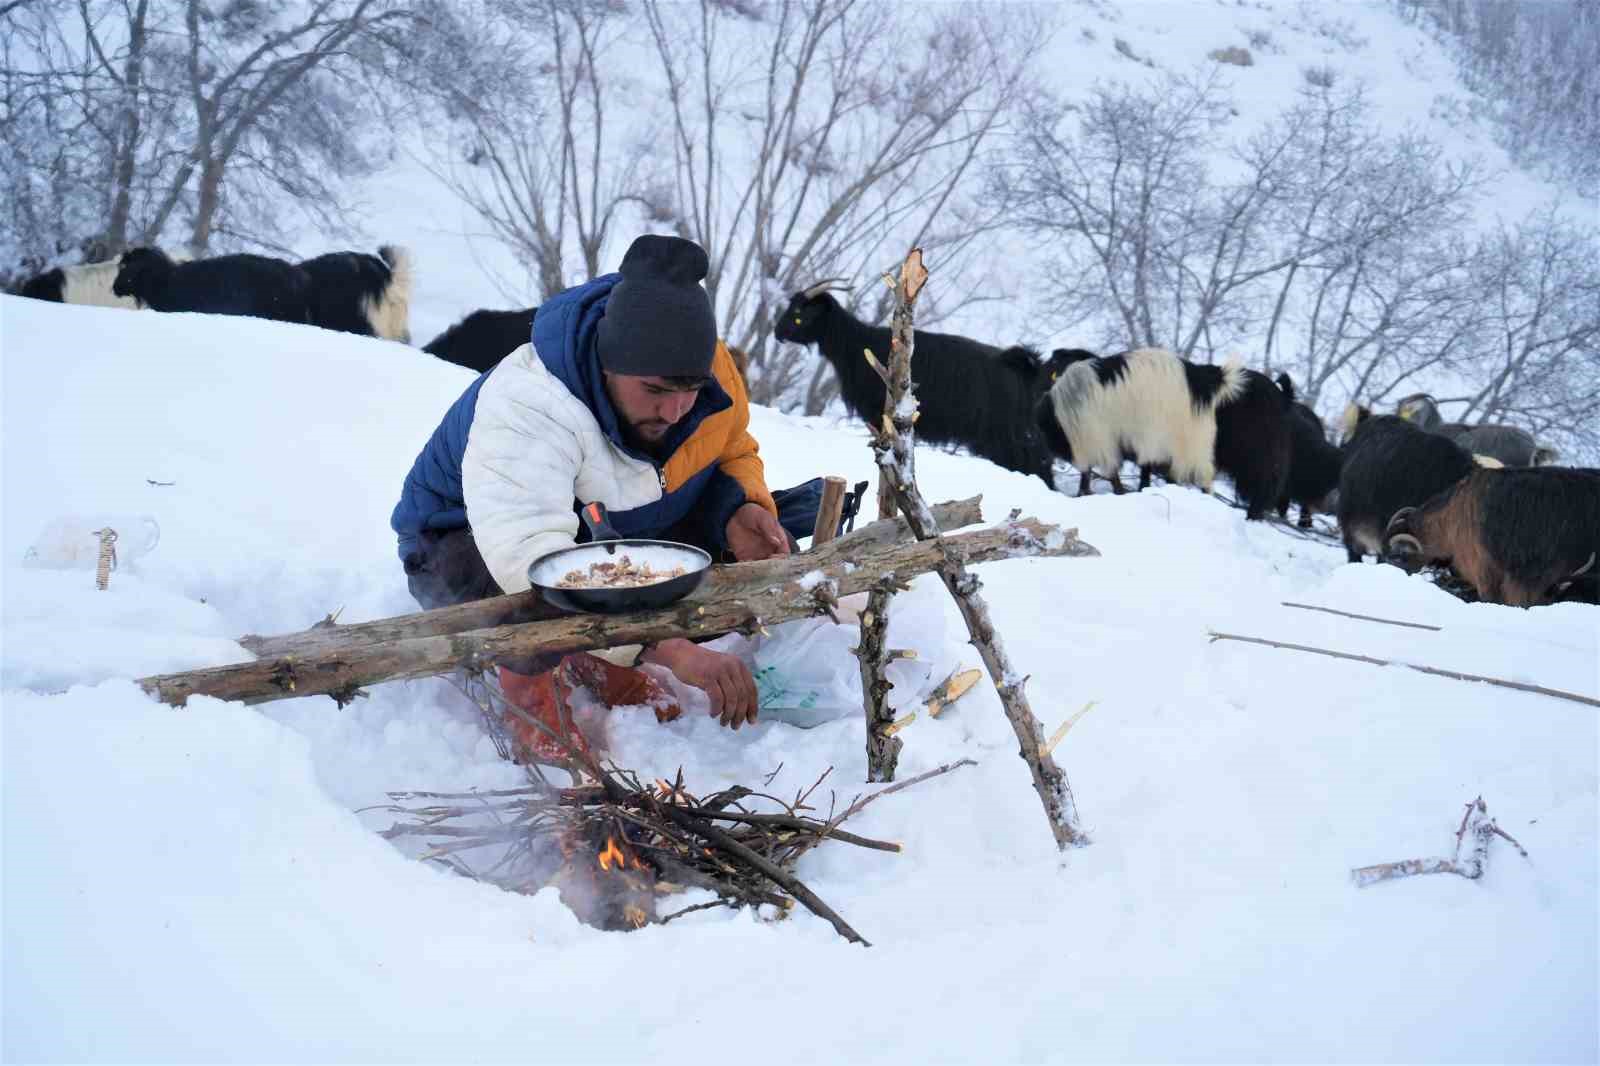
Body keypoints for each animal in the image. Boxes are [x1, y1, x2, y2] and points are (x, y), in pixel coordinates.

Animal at [774, 280, 1062, 483]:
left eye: (800, 314)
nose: (777, 333)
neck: (857, 344)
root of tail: (1028, 368)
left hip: (1008, 435)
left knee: (1038, 463)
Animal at [1030, 348, 1241, 499]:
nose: (1044, 459)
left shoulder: (1097, 440)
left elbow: (1100, 471)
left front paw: (1091, 493)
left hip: (1177, 437)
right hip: (1195, 437)